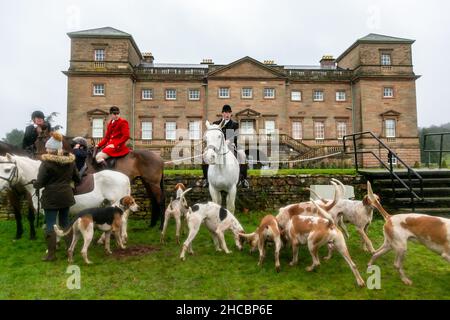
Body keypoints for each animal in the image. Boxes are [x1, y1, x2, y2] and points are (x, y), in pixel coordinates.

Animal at [33, 134, 165, 229]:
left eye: (44, 143)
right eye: (35, 144)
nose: (39, 161)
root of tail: (159, 157)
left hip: (153, 183)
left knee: (160, 201)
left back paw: (161, 226)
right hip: (147, 182)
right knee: (153, 200)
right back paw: (152, 224)